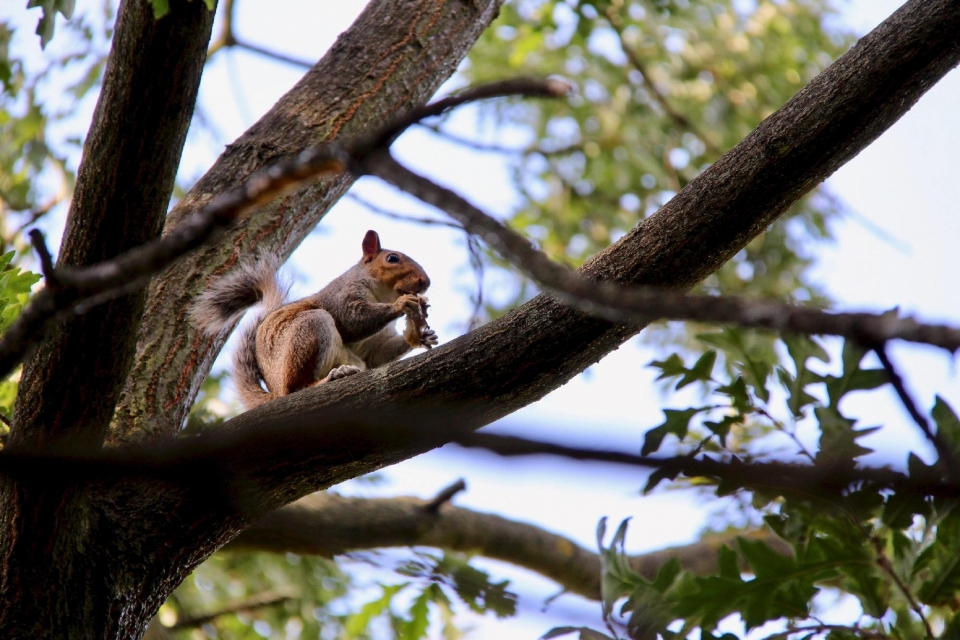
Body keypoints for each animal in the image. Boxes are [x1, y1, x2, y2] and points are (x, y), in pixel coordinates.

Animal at [191, 230, 438, 410]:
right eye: (392, 258)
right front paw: (401, 304)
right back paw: (328, 379)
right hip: (310, 330)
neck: (382, 295)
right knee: (297, 387)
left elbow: (379, 354)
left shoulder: (376, 345)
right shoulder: (341, 296)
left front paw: (422, 336)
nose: (425, 282)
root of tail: (275, 392)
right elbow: (352, 321)